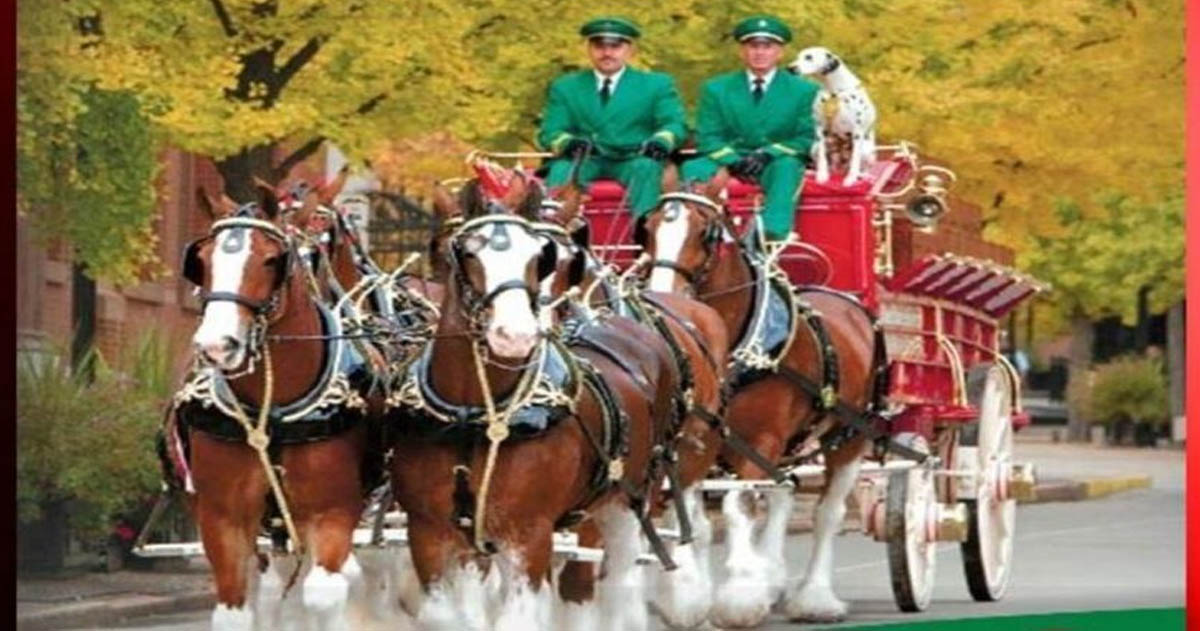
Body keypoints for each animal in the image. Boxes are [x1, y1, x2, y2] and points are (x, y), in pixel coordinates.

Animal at [166, 185, 384, 628]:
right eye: (201, 261)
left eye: (271, 259)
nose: (217, 345)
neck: (277, 410)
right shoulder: (223, 518)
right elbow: (233, 611)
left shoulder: (334, 510)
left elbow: (324, 594)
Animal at [386, 177, 681, 631]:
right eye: (465, 251)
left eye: (537, 257)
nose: (515, 335)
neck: (475, 415)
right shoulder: (430, 536)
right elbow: (450, 615)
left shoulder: (528, 538)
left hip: (627, 505)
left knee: (618, 584)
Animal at [643, 181, 888, 623]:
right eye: (649, 228)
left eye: (706, 234)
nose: (662, 295)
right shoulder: (698, 442)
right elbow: (697, 521)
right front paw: (688, 596)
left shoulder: (759, 443)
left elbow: (739, 507)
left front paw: (739, 596)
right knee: (783, 496)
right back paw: (773, 576)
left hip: (850, 437)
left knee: (827, 514)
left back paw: (815, 598)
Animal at [792, 46, 878, 185]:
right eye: (798, 57)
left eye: (809, 57)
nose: (790, 68)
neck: (834, 92)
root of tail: (839, 169)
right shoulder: (820, 129)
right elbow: (822, 159)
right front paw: (822, 175)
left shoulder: (857, 132)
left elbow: (855, 161)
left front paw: (851, 178)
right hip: (814, 147)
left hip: (867, 151)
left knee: (862, 167)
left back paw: (863, 176)